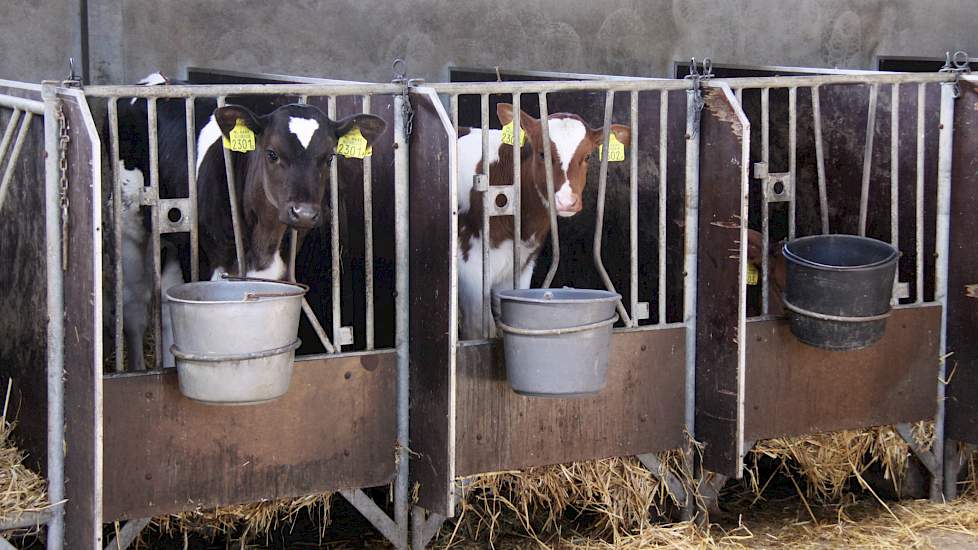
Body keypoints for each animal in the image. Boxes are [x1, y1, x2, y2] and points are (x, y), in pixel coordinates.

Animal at [115, 76, 386, 370]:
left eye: (329, 158)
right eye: (272, 153)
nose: (304, 213)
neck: (264, 243)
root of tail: (157, 81)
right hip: (130, 222)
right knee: (134, 307)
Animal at [458, 101, 632, 338]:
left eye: (587, 156)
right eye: (541, 154)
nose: (566, 201)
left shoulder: (522, 263)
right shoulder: (471, 269)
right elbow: (481, 330)